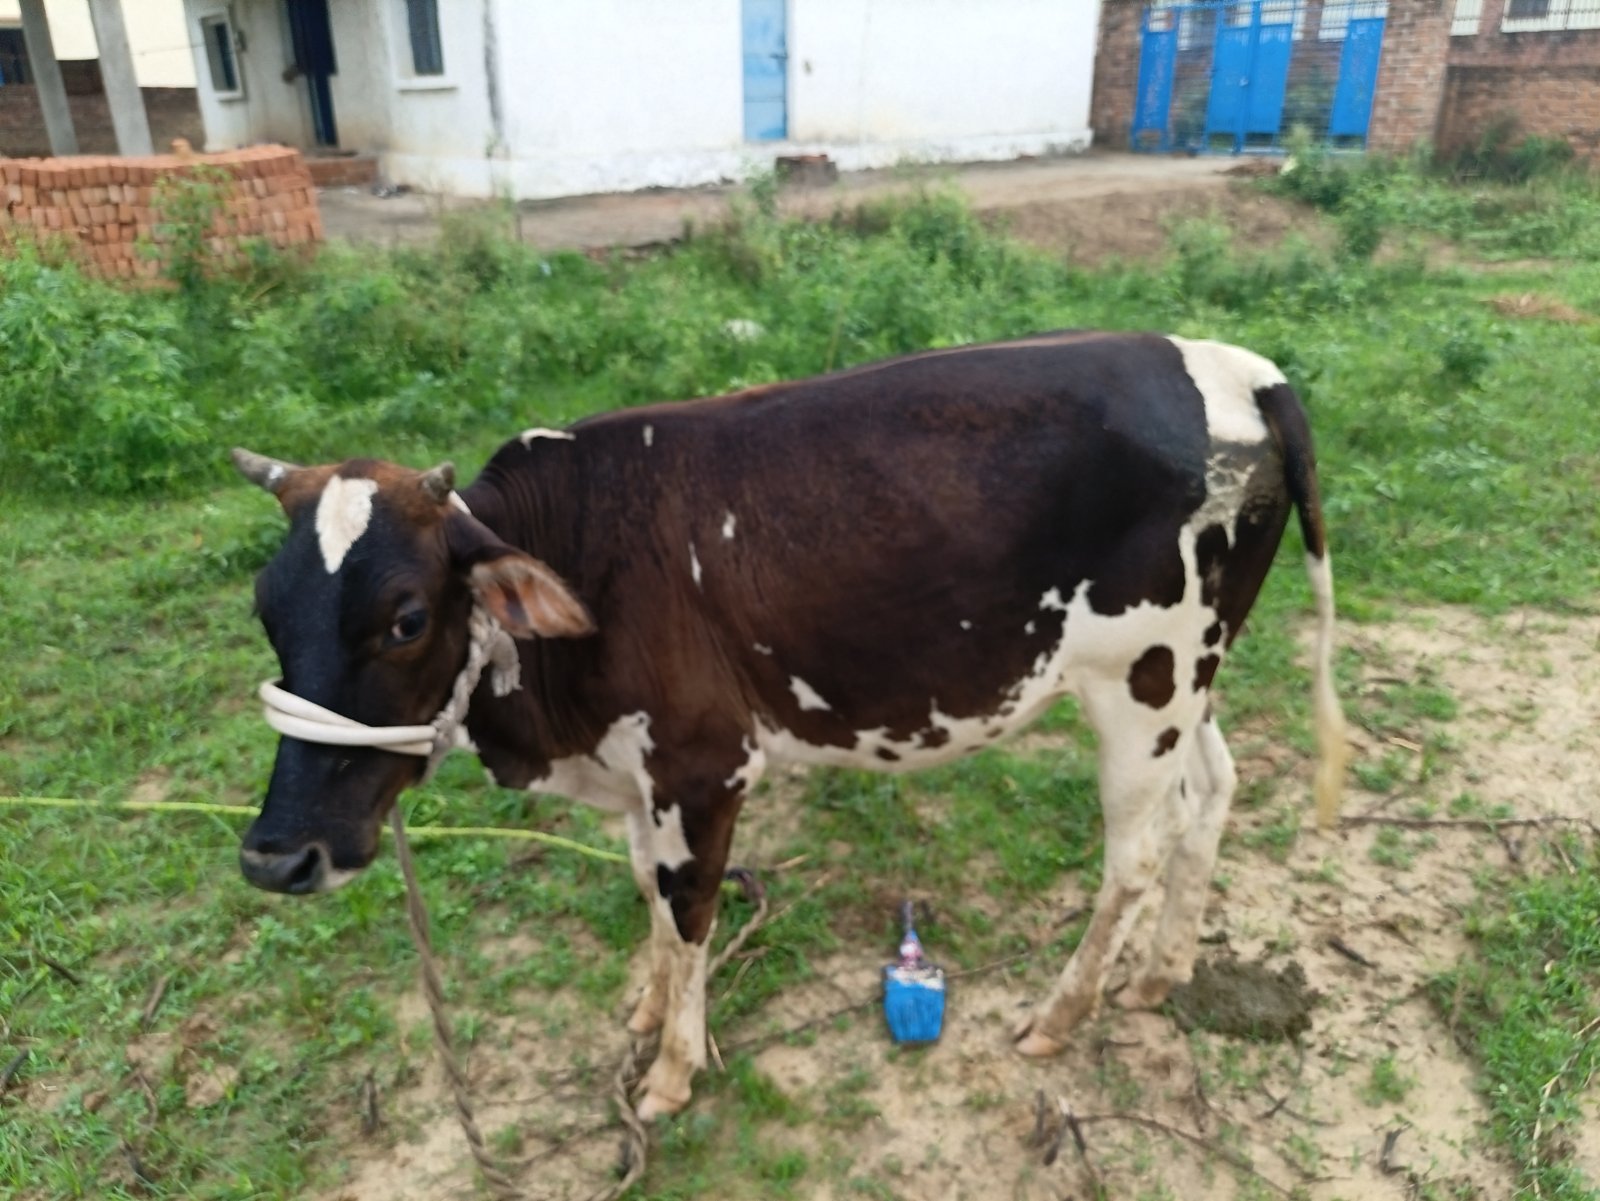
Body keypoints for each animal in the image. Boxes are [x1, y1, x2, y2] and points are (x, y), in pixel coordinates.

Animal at [231, 330, 1345, 1120]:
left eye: (406, 617)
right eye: (266, 608)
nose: (276, 856)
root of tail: (1242, 369)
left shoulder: (702, 765)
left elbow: (688, 910)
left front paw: (671, 1070)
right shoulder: (637, 771)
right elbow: (647, 890)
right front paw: (646, 1005)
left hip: (1140, 678)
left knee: (1136, 853)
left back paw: (1060, 1014)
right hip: (1189, 675)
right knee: (1213, 791)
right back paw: (1160, 972)